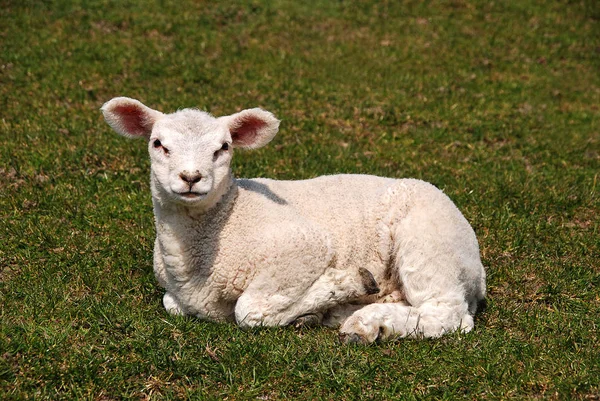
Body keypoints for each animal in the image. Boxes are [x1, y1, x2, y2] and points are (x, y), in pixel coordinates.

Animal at [101, 97, 486, 344]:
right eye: (158, 143)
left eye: (223, 148)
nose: (191, 177)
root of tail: (477, 271)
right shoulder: (177, 296)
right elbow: (172, 305)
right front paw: (315, 312)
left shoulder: (304, 245)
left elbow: (249, 311)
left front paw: (343, 285)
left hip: (429, 243)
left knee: (447, 313)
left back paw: (366, 324)